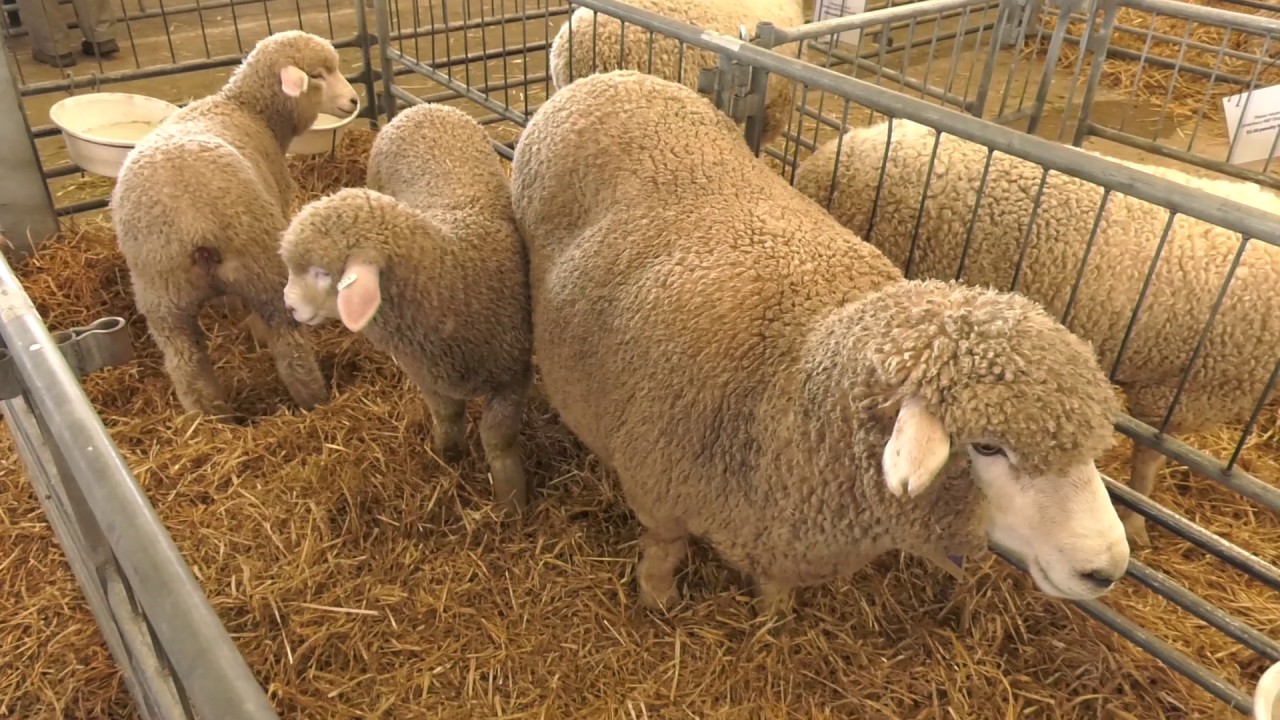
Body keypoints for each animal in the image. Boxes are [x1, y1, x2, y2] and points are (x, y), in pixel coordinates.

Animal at [110, 30, 360, 420]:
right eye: (317, 75)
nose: (353, 100)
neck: (249, 111)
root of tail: (192, 226)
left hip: (162, 295)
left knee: (186, 364)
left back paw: (210, 418)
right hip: (262, 266)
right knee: (287, 344)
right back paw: (313, 399)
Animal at [279, 103, 533, 515]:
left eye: (321, 272)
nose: (288, 305)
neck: (453, 273)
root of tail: (421, 107)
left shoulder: (511, 375)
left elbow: (498, 439)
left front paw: (512, 502)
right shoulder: (427, 375)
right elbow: (447, 416)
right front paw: (449, 456)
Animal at [509, 70, 1131, 616]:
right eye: (986, 447)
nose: (1107, 568)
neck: (796, 380)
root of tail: (612, 78)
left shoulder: (785, 531)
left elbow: (774, 587)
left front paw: (772, 619)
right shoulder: (658, 488)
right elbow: (666, 549)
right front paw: (658, 600)